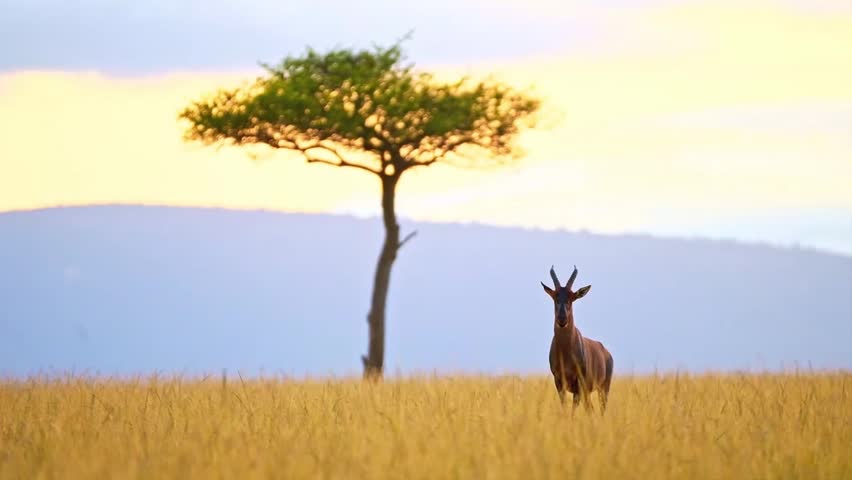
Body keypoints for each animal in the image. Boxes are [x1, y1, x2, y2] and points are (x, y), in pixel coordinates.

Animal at [541, 265, 613, 413]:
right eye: (555, 297)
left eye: (572, 297)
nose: (562, 320)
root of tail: (606, 352)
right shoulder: (559, 382)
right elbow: (565, 407)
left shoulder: (579, 384)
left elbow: (574, 410)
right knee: (590, 408)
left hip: (603, 388)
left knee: (600, 409)